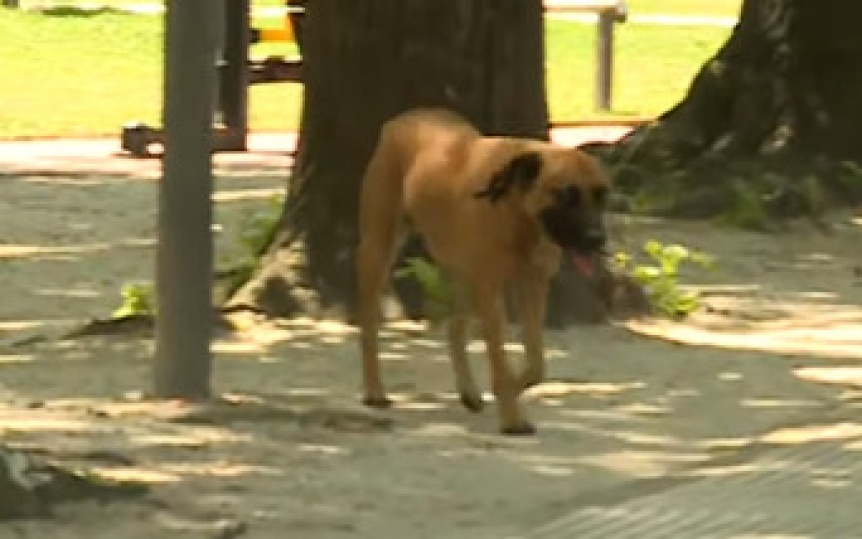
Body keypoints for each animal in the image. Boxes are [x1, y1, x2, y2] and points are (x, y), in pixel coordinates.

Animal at [354, 108, 612, 434]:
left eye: (602, 195)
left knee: (455, 327)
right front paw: (512, 416)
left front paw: (509, 391)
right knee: (369, 327)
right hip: (379, 248)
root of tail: (405, 117)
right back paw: (374, 390)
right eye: (566, 195)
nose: (597, 239)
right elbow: (502, 361)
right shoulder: (491, 290)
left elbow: (535, 364)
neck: (517, 213)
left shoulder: (533, 285)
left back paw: (469, 391)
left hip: (464, 276)